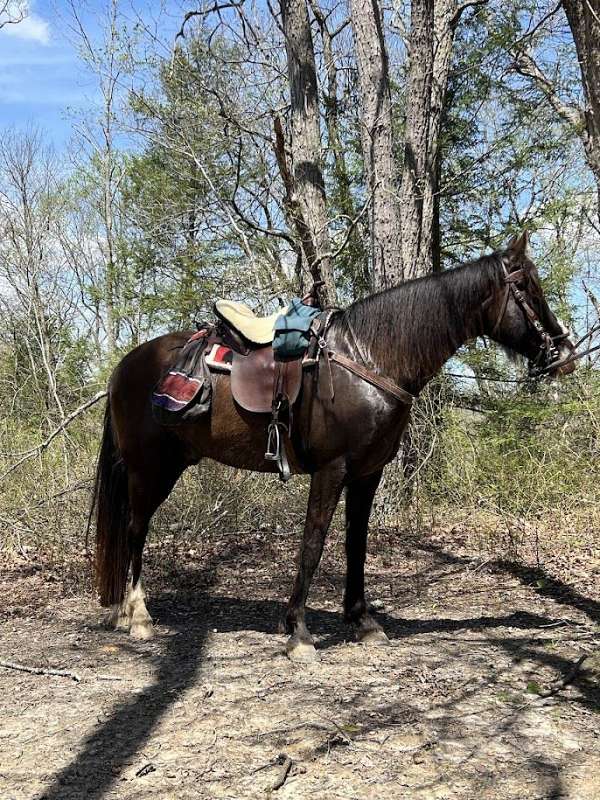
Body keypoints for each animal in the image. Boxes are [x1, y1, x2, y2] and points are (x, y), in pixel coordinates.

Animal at [92, 232, 576, 662]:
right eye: (526, 289)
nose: (566, 353)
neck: (369, 359)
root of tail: (125, 366)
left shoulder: (367, 472)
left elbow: (355, 543)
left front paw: (361, 621)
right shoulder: (332, 469)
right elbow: (314, 543)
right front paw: (300, 633)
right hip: (150, 469)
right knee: (136, 530)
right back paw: (138, 615)